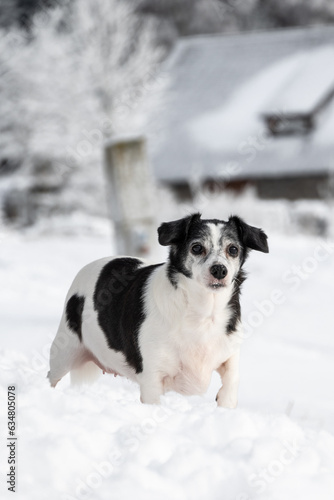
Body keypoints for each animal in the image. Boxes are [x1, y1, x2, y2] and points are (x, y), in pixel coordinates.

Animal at [48, 214, 268, 406]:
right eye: (197, 248)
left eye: (233, 249)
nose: (220, 270)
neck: (203, 310)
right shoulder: (152, 379)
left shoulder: (229, 353)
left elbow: (232, 379)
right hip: (64, 353)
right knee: (53, 376)